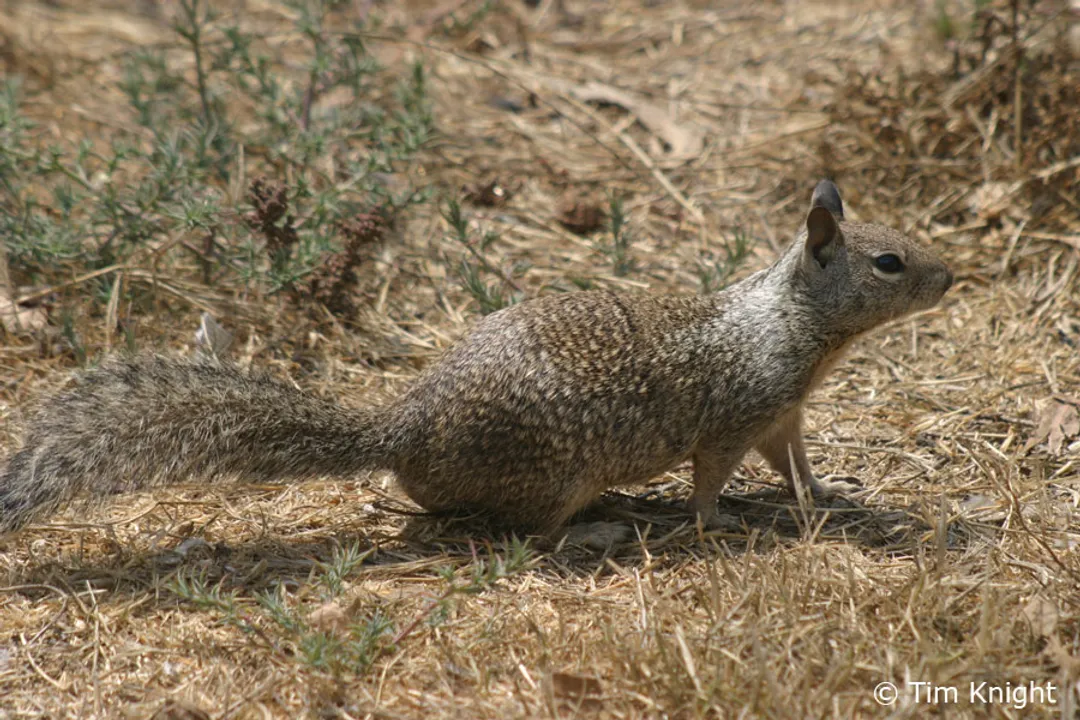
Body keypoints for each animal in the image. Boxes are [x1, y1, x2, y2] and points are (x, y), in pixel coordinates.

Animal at [0, 181, 952, 536]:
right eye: (888, 262)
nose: (953, 275)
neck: (791, 323)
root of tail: (405, 427)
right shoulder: (736, 417)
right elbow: (712, 477)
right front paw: (715, 524)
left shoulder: (785, 413)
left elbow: (797, 463)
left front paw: (824, 495)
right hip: (550, 477)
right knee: (511, 526)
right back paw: (601, 524)